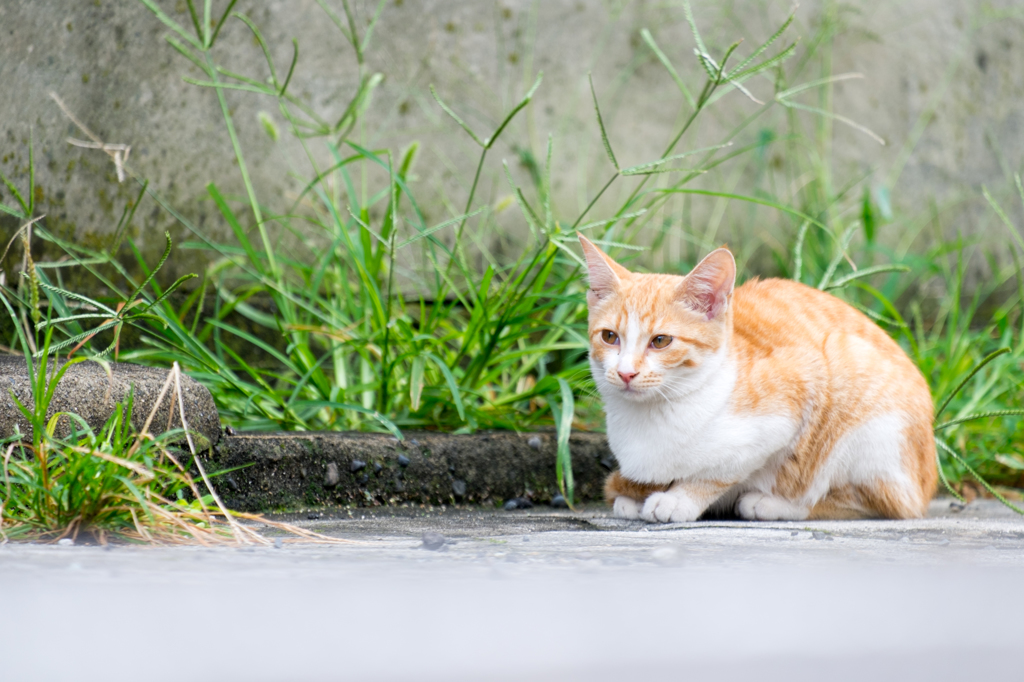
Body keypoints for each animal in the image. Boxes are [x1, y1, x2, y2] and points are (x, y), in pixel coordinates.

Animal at [577, 233, 937, 520]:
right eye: (609, 337)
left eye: (661, 341)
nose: (625, 372)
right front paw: (635, 494)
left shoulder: (793, 400)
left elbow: (720, 470)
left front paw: (680, 498)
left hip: (858, 389)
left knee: (880, 502)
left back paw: (773, 504)